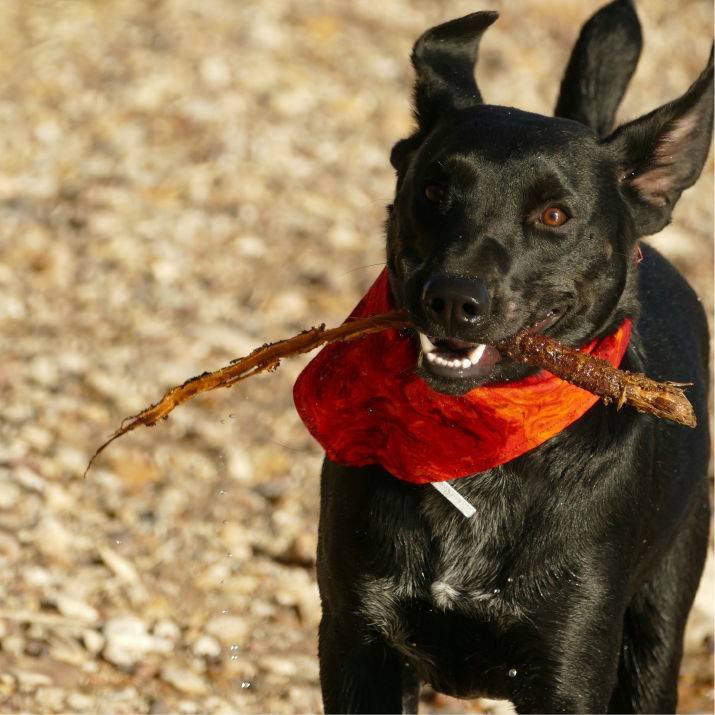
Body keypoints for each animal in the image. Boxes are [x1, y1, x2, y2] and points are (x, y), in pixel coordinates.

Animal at [316, 2, 712, 712]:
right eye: (434, 191)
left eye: (555, 215)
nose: (453, 299)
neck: (484, 445)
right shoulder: (356, 642)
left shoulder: (570, 665)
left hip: (659, 622)